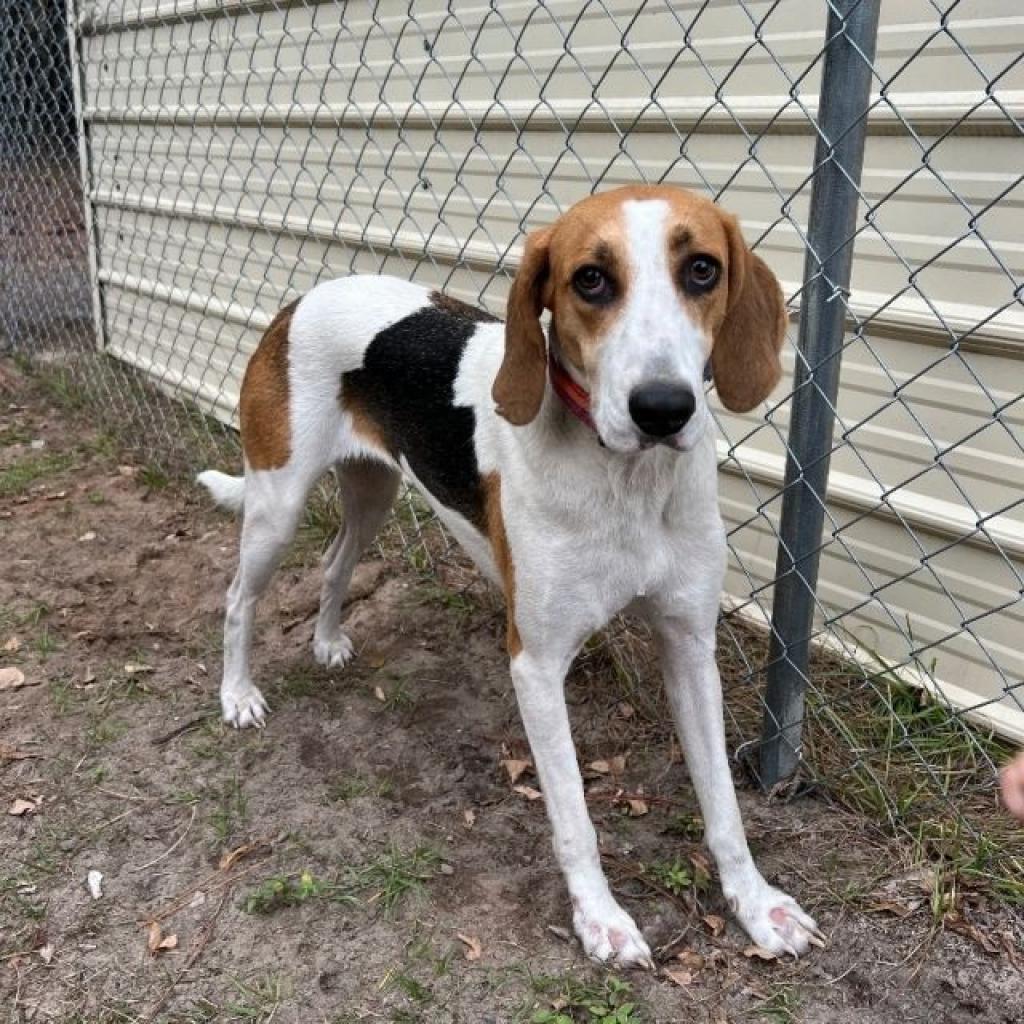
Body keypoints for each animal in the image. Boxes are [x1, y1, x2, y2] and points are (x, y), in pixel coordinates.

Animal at [197, 186, 823, 966]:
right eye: (590, 279)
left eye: (703, 269)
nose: (662, 408)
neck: (627, 480)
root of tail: (301, 299)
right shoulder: (537, 664)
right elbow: (576, 818)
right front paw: (601, 919)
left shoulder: (688, 646)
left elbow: (724, 805)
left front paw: (757, 905)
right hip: (276, 508)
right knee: (236, 599)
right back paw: (238, 695)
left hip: (374, 495)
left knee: (335, 562)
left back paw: (327, 641)